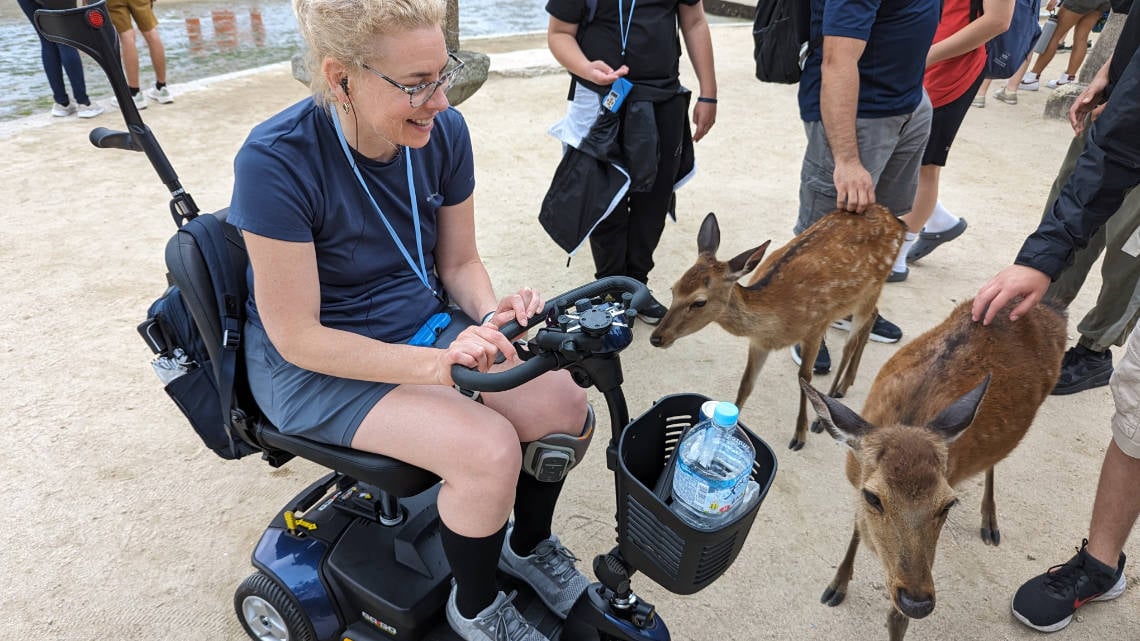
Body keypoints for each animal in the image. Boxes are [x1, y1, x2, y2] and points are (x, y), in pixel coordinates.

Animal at [649, 205, 905, 450]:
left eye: (699, 301)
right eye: (674, 289)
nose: (657, 338)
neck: (777, 320)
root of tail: (896, 220)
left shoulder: (816, 326)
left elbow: (804, 378)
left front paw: (799, 435)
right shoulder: (759, 343)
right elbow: (745, 385)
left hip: (870, 288)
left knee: (850, 343)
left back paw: (827, 406)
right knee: (872, 317)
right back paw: (845, 385)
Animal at [799, 299, 1067, 641]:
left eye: (948, 505)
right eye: (874, 497)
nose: (917, 601)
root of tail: (1053, 307)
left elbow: (895, 618)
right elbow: (857, 528)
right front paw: (836, 586)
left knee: (994, 462)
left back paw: (990, 522)